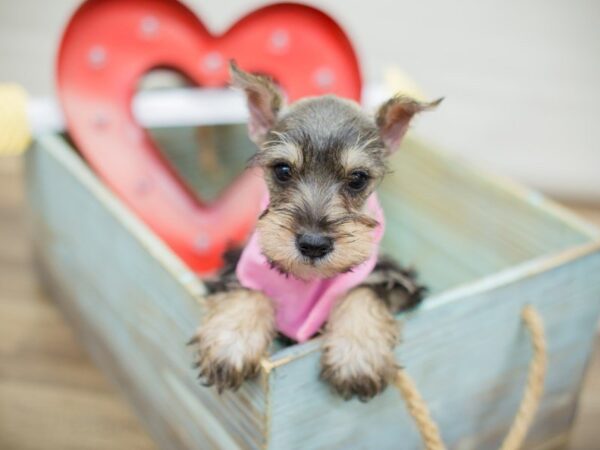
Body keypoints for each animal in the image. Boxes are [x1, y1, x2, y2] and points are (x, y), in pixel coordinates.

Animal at [192, 60, 440, 400]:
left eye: (358, 178)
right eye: (282, 170)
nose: (313, 244)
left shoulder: (397, 278)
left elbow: (362, 291)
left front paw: (358, 354)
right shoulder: (237, 262)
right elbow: (247, 288)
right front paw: (231, 341)